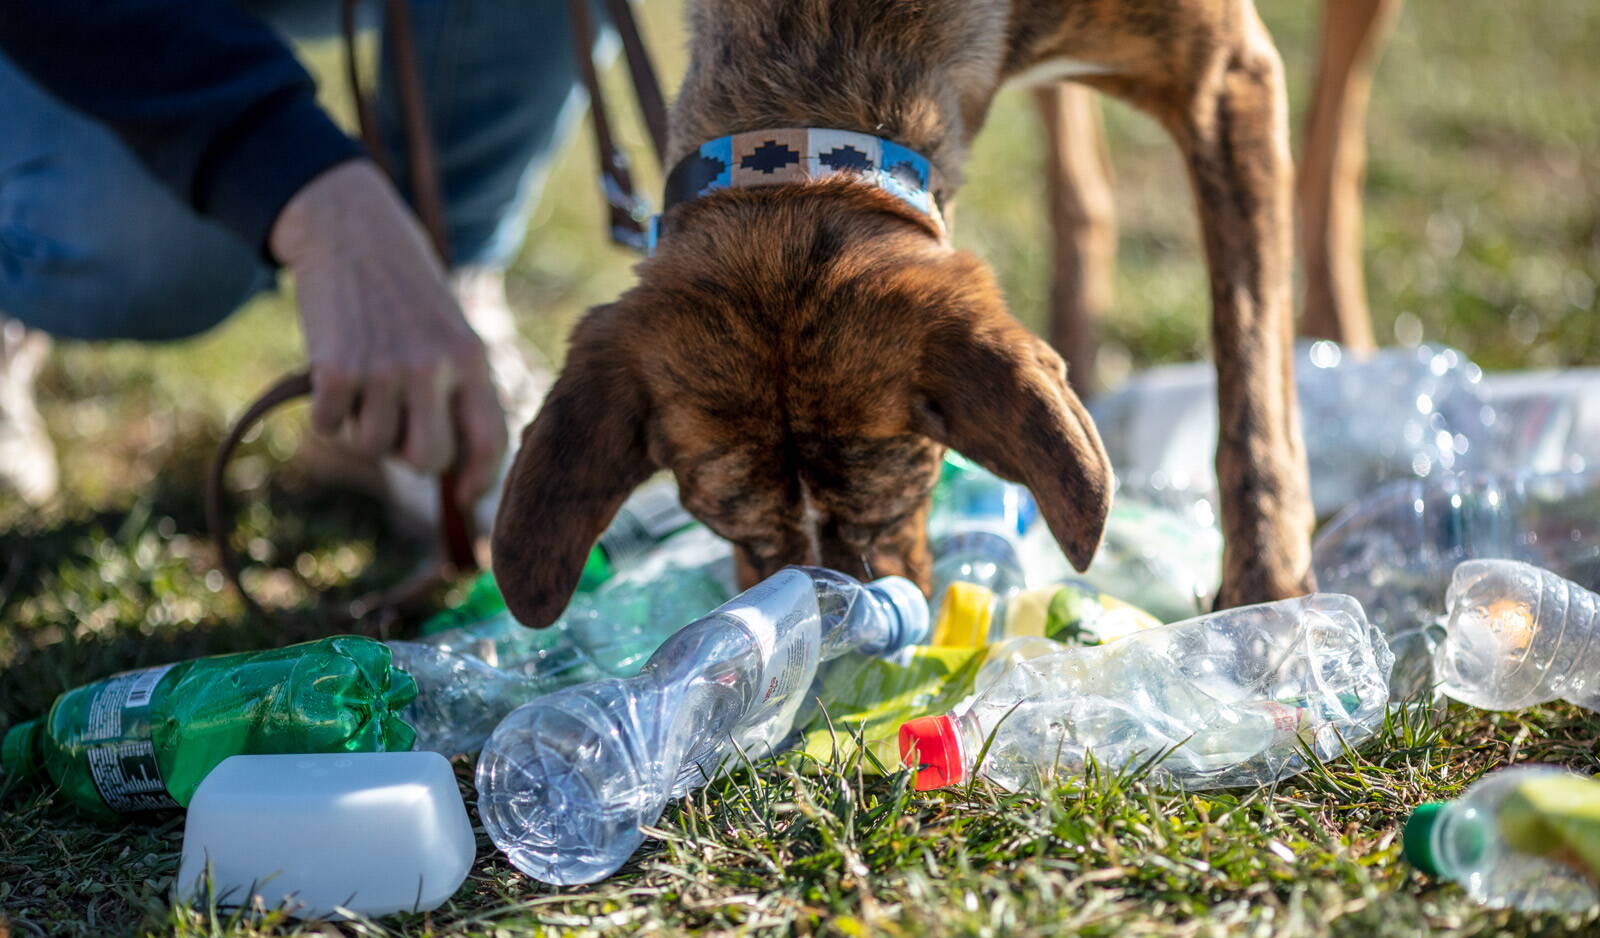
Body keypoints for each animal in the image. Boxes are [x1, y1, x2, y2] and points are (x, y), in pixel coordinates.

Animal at [496, 3, 1312, 627]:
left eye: (898, 505)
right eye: (733, 531)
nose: (839, 618)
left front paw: (1266, 611)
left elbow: (1251, 392)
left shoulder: (1227, 79)